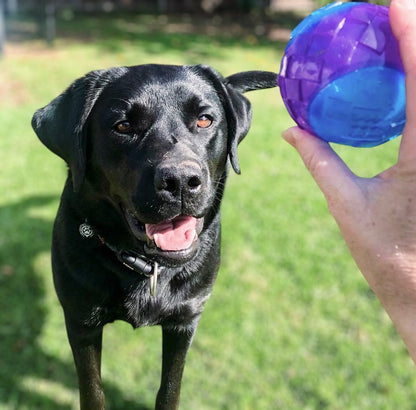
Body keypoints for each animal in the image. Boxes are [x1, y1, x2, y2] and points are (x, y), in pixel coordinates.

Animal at [32, 64, 278, 406]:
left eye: (204, 119)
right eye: (123, 126)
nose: (180, 181)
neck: (149, 265)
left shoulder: (185, 320)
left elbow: (170, 387)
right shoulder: (82, 322)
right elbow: (93, 390)